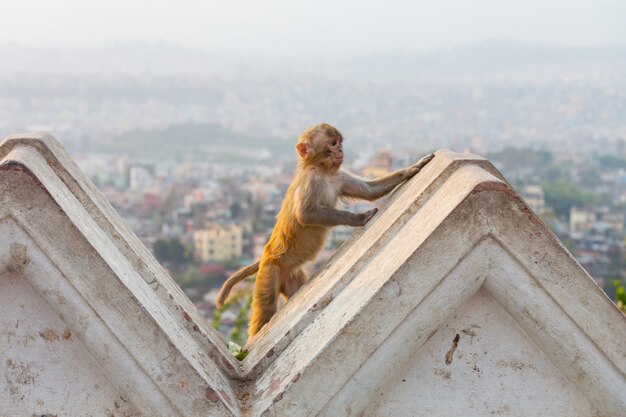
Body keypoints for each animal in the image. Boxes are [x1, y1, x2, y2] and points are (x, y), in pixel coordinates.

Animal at [216, 123, 434, 338]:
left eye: (339, 142)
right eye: (332, 143)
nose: (341, 150)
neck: (323, 172)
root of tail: (265, 256)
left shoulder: (339, 176)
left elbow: (370, 191)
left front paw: (413, 168)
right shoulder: (310, 181)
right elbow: (305, 215)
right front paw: (358, 218)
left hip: (290, 274)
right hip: (269, 273)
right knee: (265, 309)